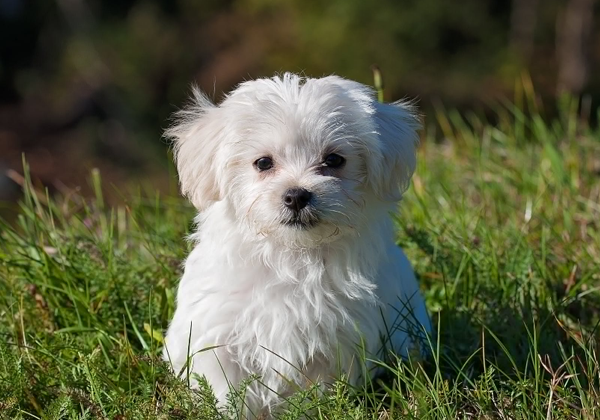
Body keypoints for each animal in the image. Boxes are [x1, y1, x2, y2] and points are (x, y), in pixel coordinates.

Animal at [162, 73, 428, 416]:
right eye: (263, 163)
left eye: (334, 160)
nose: (297, 195)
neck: (292, 255)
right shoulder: (218, 334)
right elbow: (226, 389)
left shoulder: (336, 341)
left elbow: (318, 391)